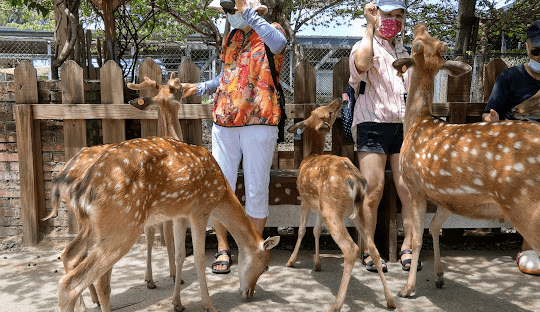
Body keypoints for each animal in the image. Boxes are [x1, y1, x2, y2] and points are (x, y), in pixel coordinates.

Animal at [44, 73, 280, 312]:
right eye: (265, 265)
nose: (249, 294)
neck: (221, 192)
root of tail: (68, 181)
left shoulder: (180, 213)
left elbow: (179, 254)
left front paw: (177, 302)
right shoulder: (200, 210)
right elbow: (197, 257)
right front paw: (207, 304)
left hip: (93, 226)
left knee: (69, 255)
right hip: (123, 226)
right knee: (76, 283)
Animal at [284, 98, 394, 312]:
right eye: (324, 111)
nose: (339, 100)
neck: (310, 156)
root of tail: (355, 180)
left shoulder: (305, 199)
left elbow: (302, 230)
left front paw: (291, 261)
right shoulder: (317, 205)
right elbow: (316, 230)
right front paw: (317, 264)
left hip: (332, 210)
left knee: (351, 249)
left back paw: (336, 304)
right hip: (358, 211)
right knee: (373, 248)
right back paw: (390, 300)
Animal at [390, 22, 540, 298]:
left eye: (417, 43)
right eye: (429, 39)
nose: (420, 24)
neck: (418, 122)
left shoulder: (416, 186)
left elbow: (417, 237)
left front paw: (407, 288)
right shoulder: (447, 197)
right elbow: (434, 227)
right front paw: (439, 276)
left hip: (526, 206)